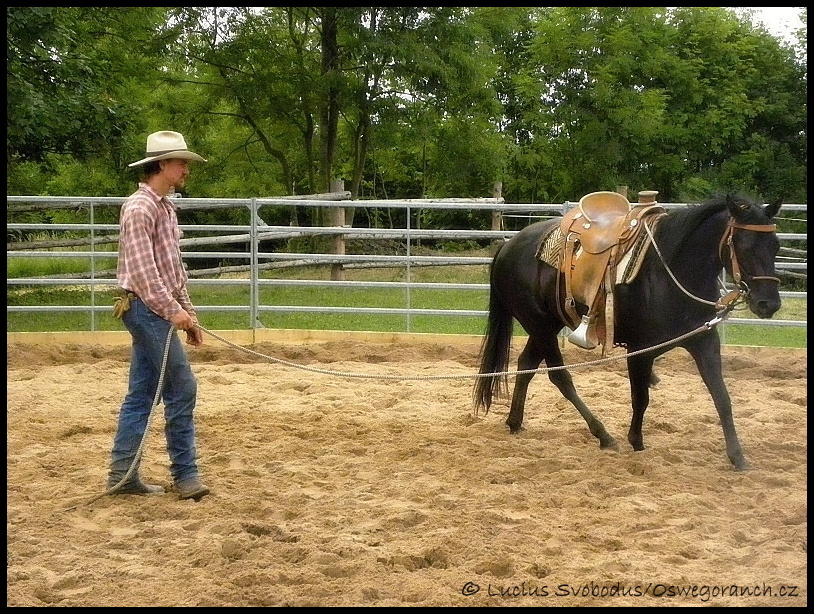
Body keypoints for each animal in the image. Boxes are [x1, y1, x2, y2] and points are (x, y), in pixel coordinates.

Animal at [474, 192, 788, 472]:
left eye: (775, 245)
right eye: (744, 245)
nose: (768, 303)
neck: (670, 270)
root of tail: (508, 246)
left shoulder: (704, 342)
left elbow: (722, 397)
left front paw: (738, 457)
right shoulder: (640, 351)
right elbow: (641, 398)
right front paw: (636, 442)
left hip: (547, 326)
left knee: (526, 364)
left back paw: (515, 421)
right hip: (540, 326)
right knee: (560, 377)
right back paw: (602, 434)